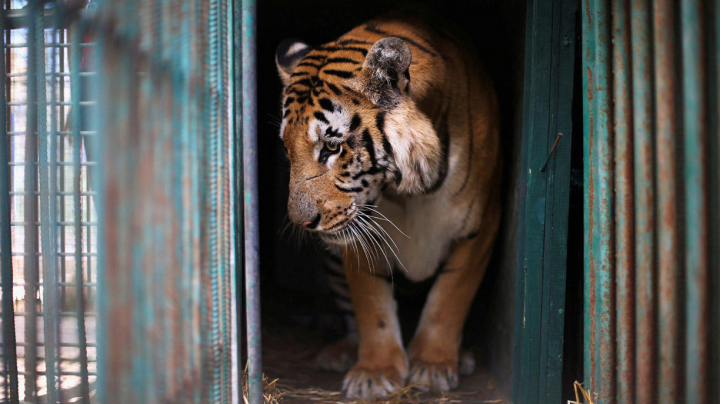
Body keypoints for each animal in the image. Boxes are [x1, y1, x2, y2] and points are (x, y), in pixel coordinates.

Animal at [274, 7, 500, 400]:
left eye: (331, 147)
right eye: (288, 149)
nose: (302, 222)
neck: (407, 192)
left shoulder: (480, 225)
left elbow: (450, 297)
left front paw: (432, 365)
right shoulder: (358, 235)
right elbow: (371, 306)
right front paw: (375, 374)